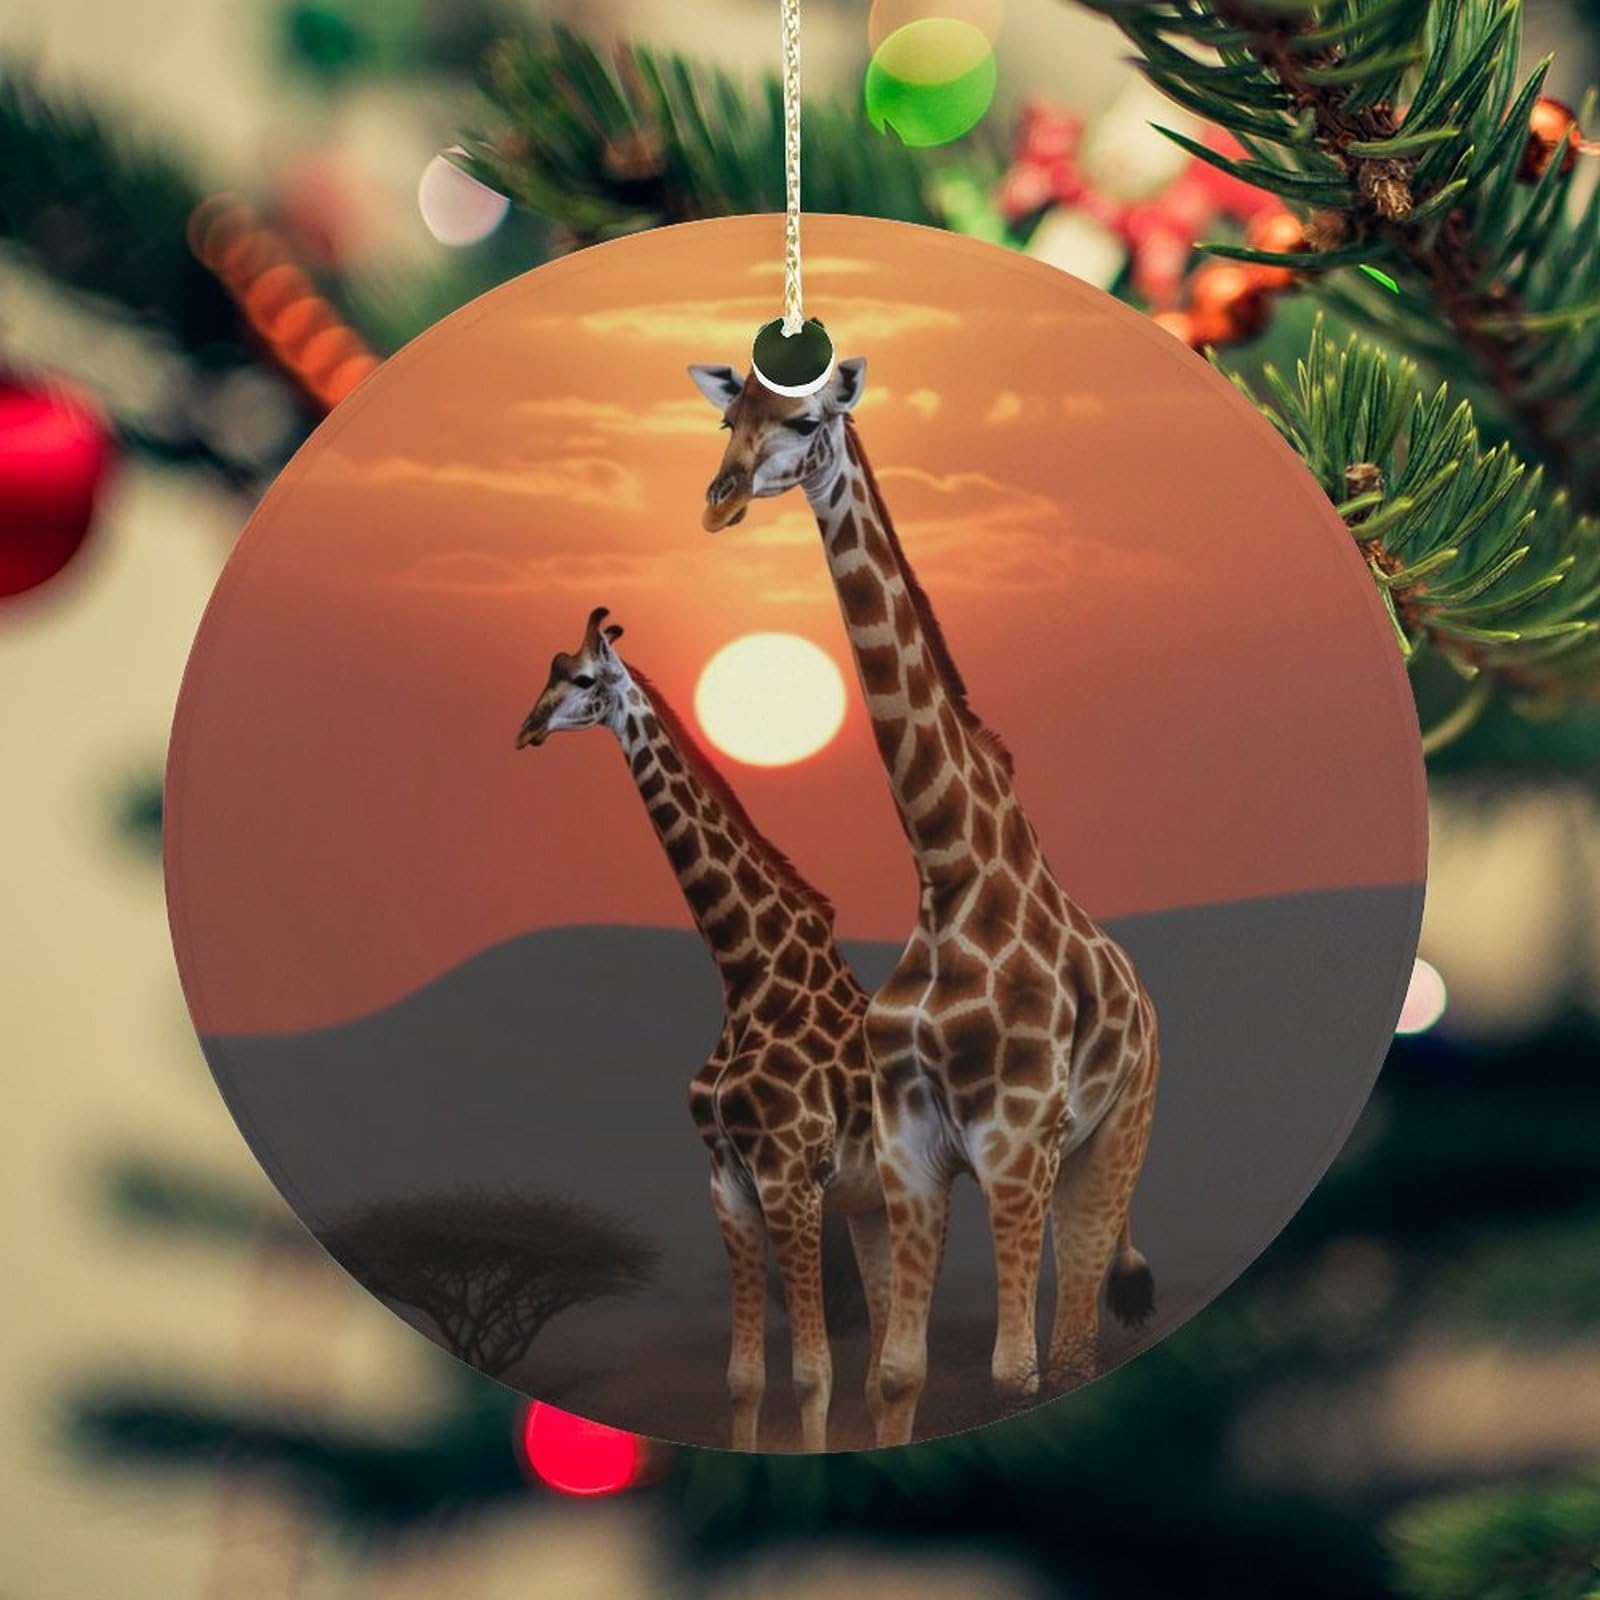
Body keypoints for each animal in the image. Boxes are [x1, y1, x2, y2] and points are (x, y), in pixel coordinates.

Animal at [515, 606, 889, 1451]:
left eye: (581, 677)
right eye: (546, 670)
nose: (527, 729)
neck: (749, 976)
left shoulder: (789, 1178)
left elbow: (813, 1373)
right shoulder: (727, 1180)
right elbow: (743, 1378)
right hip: (875, 1206)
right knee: (893, 1366)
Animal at [689, 360, 1161, 1446]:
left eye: (806, 421)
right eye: (730, 419)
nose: (720, 498)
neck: (950, 870)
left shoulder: (1015, 1146)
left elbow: (1013, 1372)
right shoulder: (909, 1155)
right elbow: (896, 1371)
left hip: (1108, 1146)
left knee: (1075, 1342)